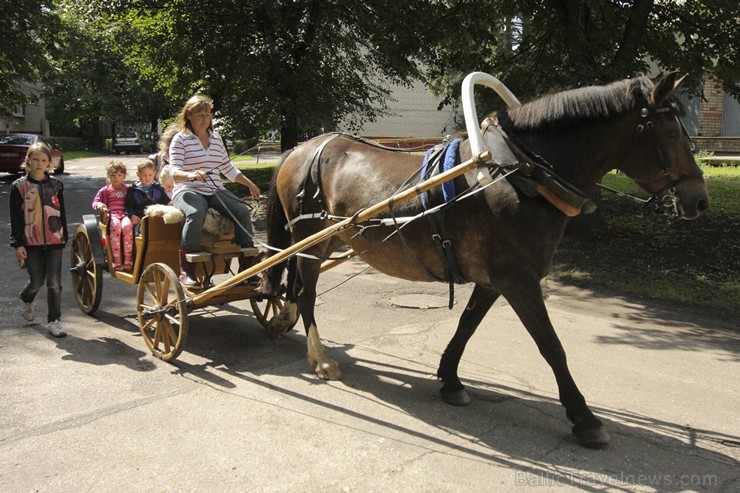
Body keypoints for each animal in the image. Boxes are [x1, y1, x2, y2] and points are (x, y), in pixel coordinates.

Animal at [258, 73, 704, 446]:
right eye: (669, 132)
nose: (699, 200)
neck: (521, 175)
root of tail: (301, 148)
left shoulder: (494, 280)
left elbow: (466, 326)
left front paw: (450, 380)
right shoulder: (519, 280)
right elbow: (551, 346)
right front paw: (584, 417)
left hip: (327, 241)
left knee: (294, 288)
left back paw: (284, 321)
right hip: (310, 242)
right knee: (306, 293)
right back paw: (320, 358)